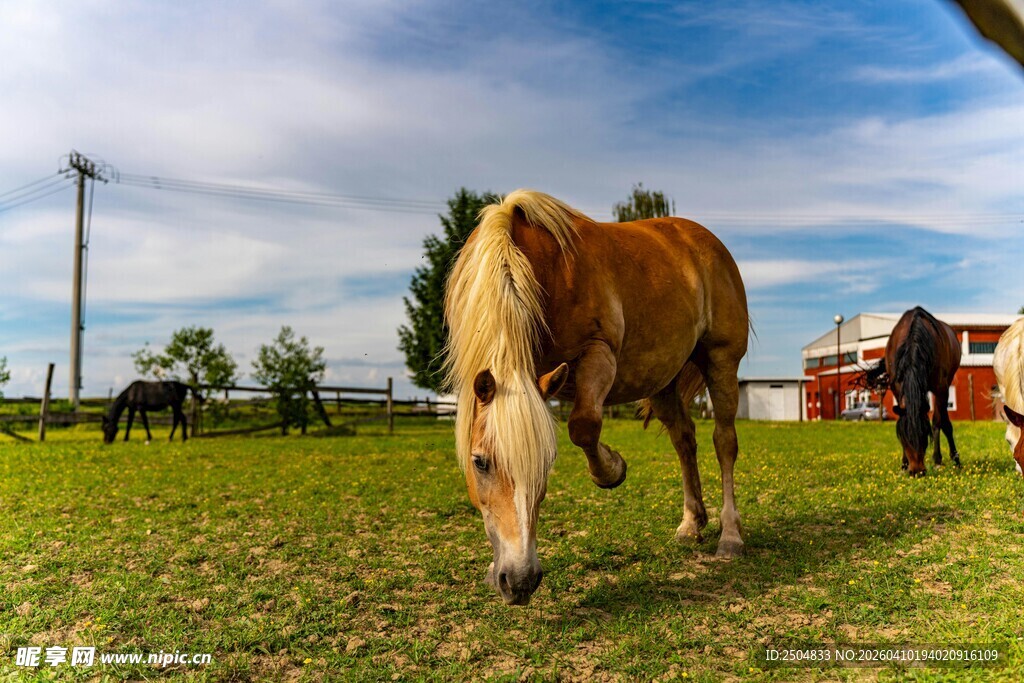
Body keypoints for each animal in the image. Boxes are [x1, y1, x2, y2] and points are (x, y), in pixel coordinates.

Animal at [443, 189, 749, 606]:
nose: (520, 581)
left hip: (721, 362)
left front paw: (613, 468)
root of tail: (707, 242)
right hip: (663, 380)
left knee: (724, 443)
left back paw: (730, 536)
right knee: (685, 441)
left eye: (548, 462)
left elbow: (584, 427)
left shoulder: (598, 355)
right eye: (480, 463)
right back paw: (691, 523)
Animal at [865, 307, 961, 476]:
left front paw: (937, 460)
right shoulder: (896, 387)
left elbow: (936, 422)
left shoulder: (940, 388)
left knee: (944, 421)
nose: (917, 471)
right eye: (903, 438)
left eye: (924, 435)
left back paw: (955, 460)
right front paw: (904, 463)